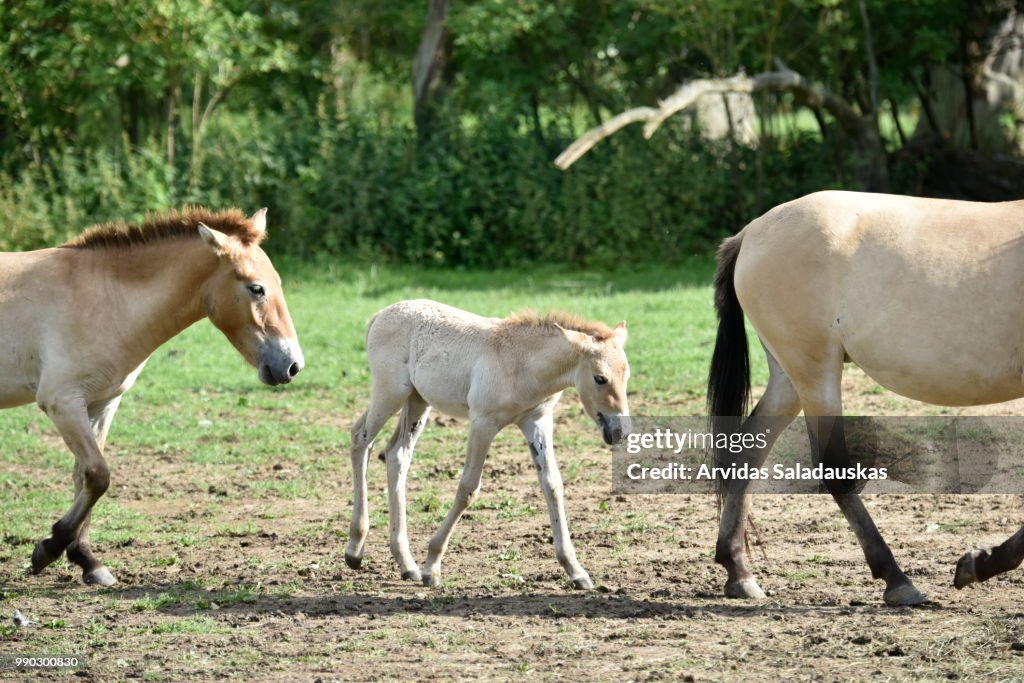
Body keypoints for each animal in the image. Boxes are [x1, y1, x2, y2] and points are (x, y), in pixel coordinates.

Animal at [1, 208, 303, 589]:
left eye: (277, 282)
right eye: (256, 288)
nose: (293, 365)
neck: (103, 299)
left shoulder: (100, 404)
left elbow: (84, 477)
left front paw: (87, 560)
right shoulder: (62, 402)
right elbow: (98, 474)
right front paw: (48, 549)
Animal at [348, 301, 626, 589]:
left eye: (626, 374)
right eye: (600, 378)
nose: (619, 431)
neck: (522, 363)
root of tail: (381, 314)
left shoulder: (537, 421)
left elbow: (552, 486)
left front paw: (575, 570)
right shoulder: (482, 423)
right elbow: (468, 489)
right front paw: (432, 566)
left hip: (417, 400)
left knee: (396, 454)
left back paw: (406, 564)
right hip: (391, 393)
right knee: (361, 440)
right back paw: (355, 550)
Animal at [708, 189, 1024, 606]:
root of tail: (750, 233)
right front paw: (978, 564)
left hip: (788, 380)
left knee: (747, 452)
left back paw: (739, 572)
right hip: (815, 372)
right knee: (833, 469)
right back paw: (896, 579)